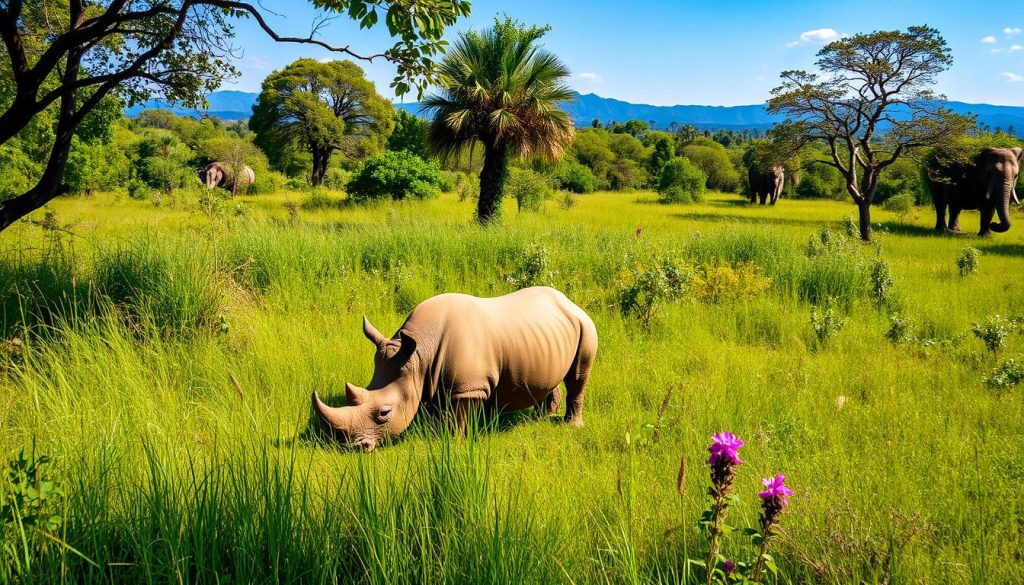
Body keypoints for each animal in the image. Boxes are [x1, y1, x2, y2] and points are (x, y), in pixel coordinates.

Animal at [312, 287, 598, 451]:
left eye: (384, 413)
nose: (356, 447)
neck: (419, 357)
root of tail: (568, 301)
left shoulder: (467, 389)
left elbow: (457, 418)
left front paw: (453, 444)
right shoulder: (429, 381)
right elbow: (439, 412)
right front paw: (436, 436)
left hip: (585, 325)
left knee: (578, 376)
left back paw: (571, 426)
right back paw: (542, 416)